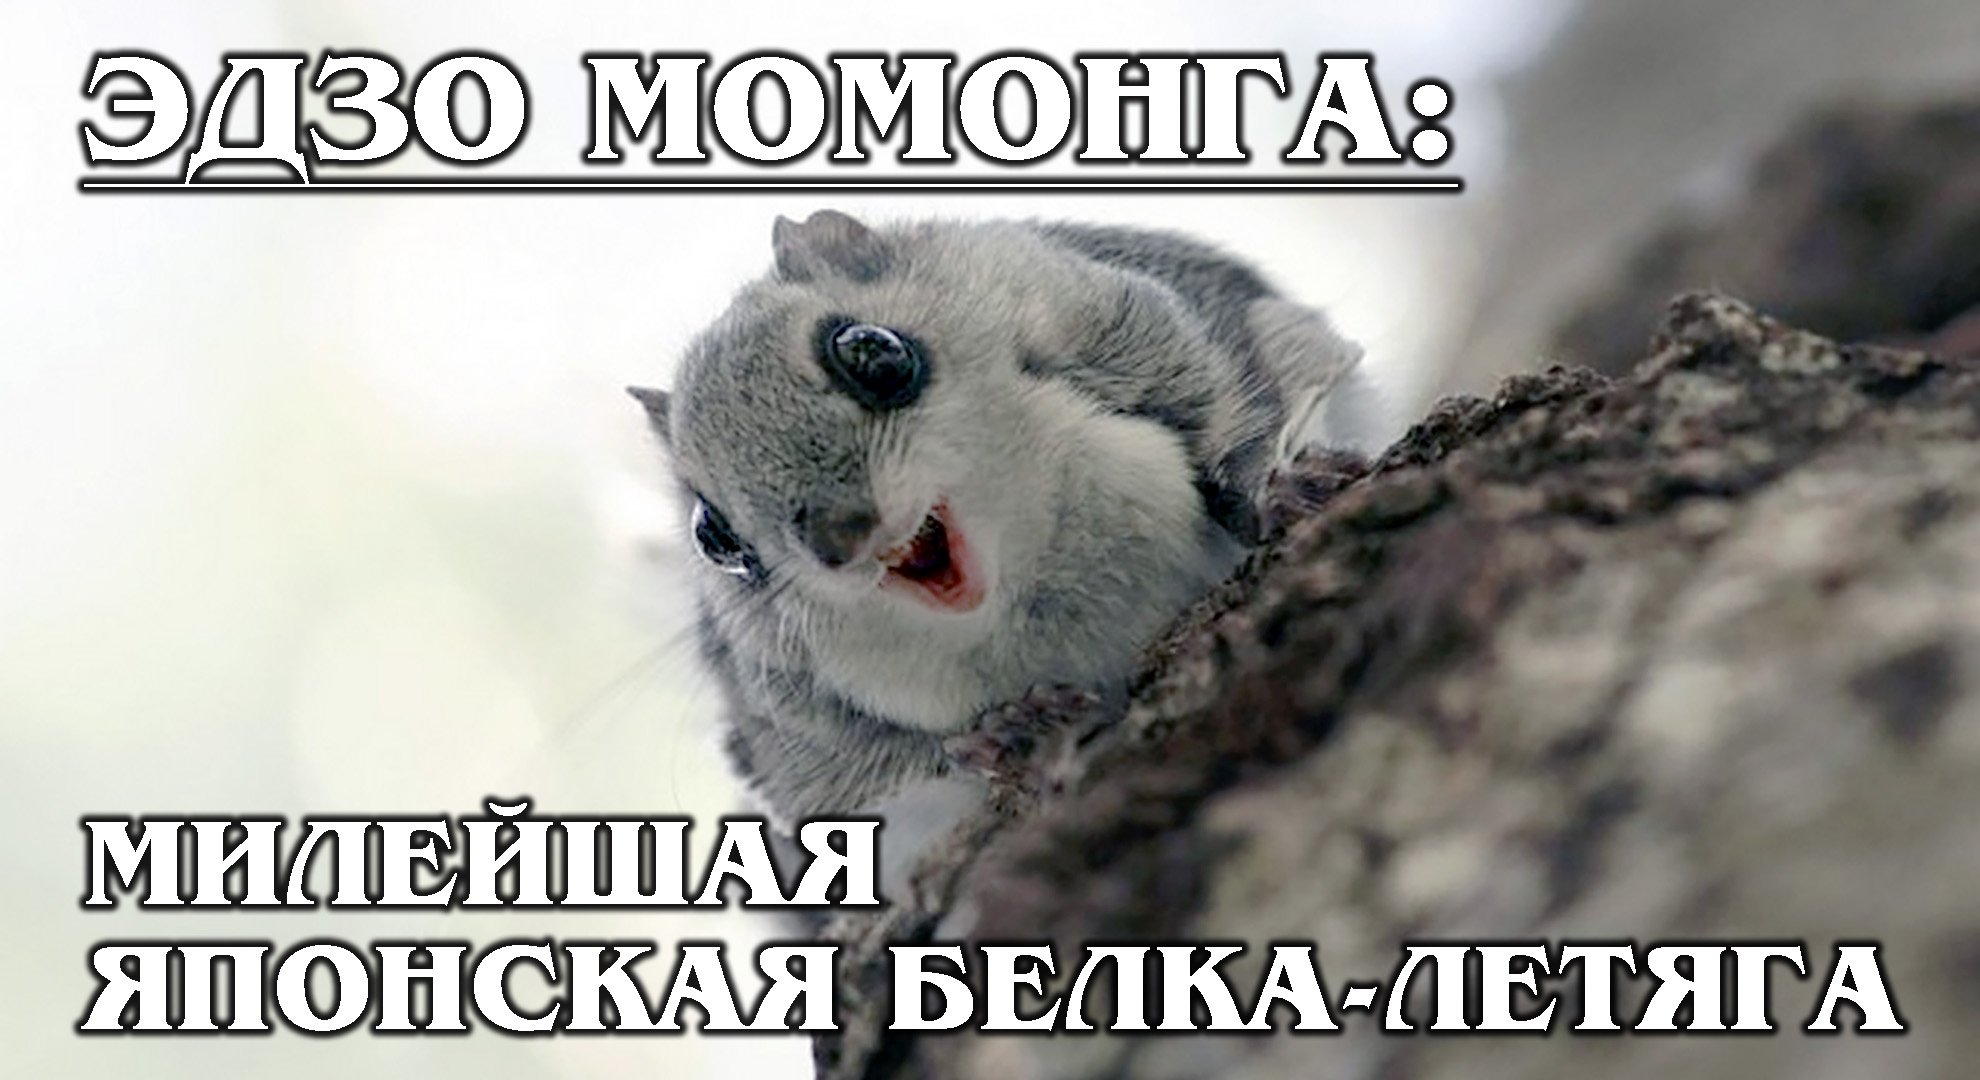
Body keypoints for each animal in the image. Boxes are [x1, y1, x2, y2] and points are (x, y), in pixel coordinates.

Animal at [630, 211, 1383, 873]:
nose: (839, 538)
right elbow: (869, 767)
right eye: (712, 535)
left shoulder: (1144, 326)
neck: (1029, 571)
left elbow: (1245, 405)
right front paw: (995, 733)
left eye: (872, 350)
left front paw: (1275, 487)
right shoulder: (785, 730)